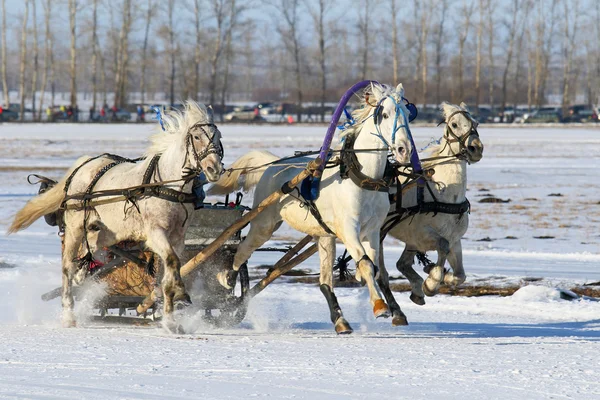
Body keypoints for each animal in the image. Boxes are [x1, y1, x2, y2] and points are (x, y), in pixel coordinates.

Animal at [8, 101, 224, 330]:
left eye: (218, 136)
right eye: (197, 137)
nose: (214, 169)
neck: (168, 185)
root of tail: (83, 165)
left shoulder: (178, 237)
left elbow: (170, 273)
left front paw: (170, 319)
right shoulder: (155, 232)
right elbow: (172, 262)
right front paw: (180, 295)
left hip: (108, 231)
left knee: (91, 249)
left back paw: (82, 274)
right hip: (75, 227)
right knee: (67, 266)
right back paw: (68, 314)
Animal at [209, 83, 414, 332]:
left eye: (407, 113)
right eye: (384, 115)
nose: (404, 149)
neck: (364, 178)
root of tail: (273, 164)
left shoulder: (373, 231)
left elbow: (374, 268)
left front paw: (382, 302)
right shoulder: (348, 229)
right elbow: (366, 264)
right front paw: (379, 306)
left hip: (324, 236)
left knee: (325, 281)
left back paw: (340, 320)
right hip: (264, 223)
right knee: (243, 249)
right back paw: (228, 277)